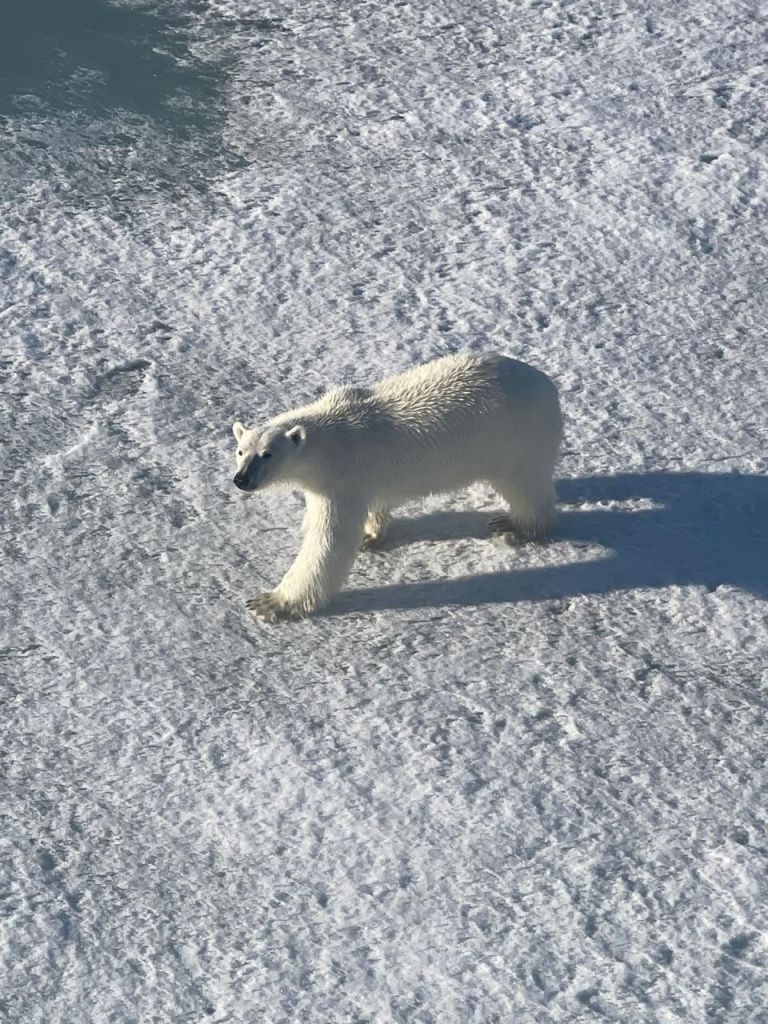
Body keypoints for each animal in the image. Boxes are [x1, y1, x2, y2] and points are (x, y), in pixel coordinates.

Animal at [231, 352, 561, 622]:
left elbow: (329, 541)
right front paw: (371, 535)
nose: (242, 479)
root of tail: (546, 383)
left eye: (267, 454)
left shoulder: (341, 479)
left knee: (525, 486)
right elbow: (375, 507)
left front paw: (271, 602)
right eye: (241, 451)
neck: (328, 441)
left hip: (515, 438)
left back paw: (514, 526)